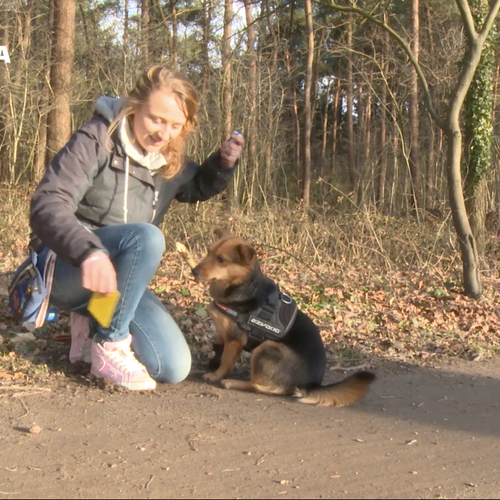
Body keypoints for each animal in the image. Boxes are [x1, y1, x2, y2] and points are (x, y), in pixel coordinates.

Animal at [191, 229, 376, 406]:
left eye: (221, 259)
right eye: (208, 252)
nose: (193, 271)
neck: (240, 287)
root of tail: (311, 385)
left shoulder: (234, 340)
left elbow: (225, 361)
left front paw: (216, 375)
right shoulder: (222, 334)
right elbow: (217, 349)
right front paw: (212, 364)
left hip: (267, 347)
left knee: (262, 387)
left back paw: (233, 382)